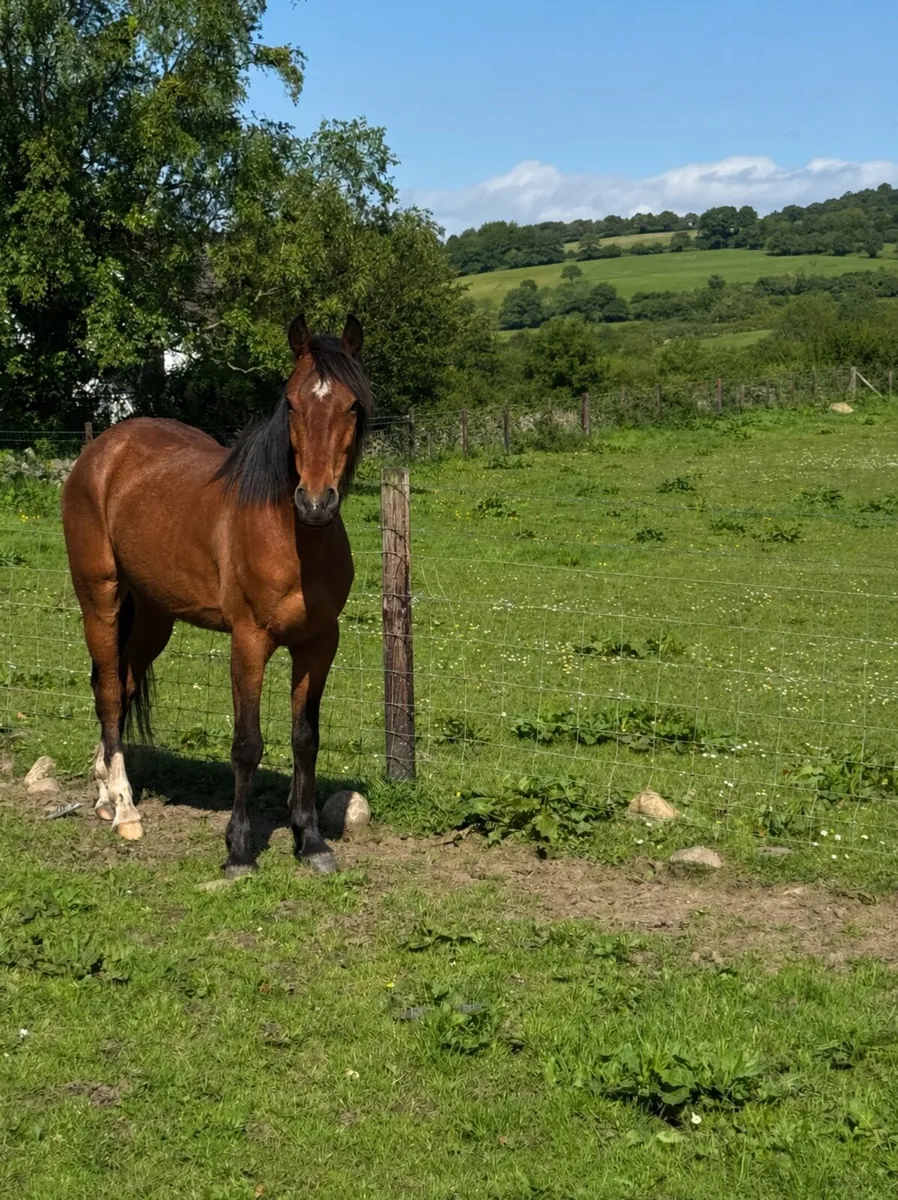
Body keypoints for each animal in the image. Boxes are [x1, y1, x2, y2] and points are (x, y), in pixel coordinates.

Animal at [61, 314, 372, 877]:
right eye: (290, 403)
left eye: (352, 405)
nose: (315, 502)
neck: (293, 538)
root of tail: (100, 451)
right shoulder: (248, 641)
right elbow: (247, 744)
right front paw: (239, 850)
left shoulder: (319, 644)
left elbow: (305, 739)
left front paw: (311, 841)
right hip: (100, 599)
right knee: (110, 693)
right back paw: (125, 808)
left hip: (154, 619)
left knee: (122, 684)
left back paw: (103, 795)